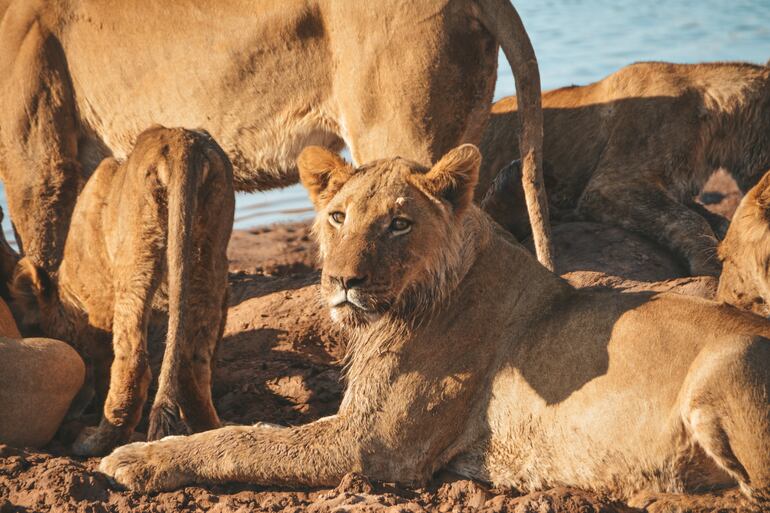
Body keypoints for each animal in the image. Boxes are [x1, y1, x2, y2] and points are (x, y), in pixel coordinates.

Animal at [9, 126, 234, 454]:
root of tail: (180, 141)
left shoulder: (100, 307)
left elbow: (105, 364)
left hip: (135, 260)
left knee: (133, 362)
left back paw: (94, 442)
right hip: (210, 253)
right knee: (192, 361)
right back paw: (209, 429)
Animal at [99, 143, 768, 508]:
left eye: (398, 223)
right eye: (338, 217)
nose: (342, 281)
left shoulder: (369, 444)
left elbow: (246, 442)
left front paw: (138, 456)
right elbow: (253, 433)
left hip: (728, 366)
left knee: (753, 492)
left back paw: (653, 493)